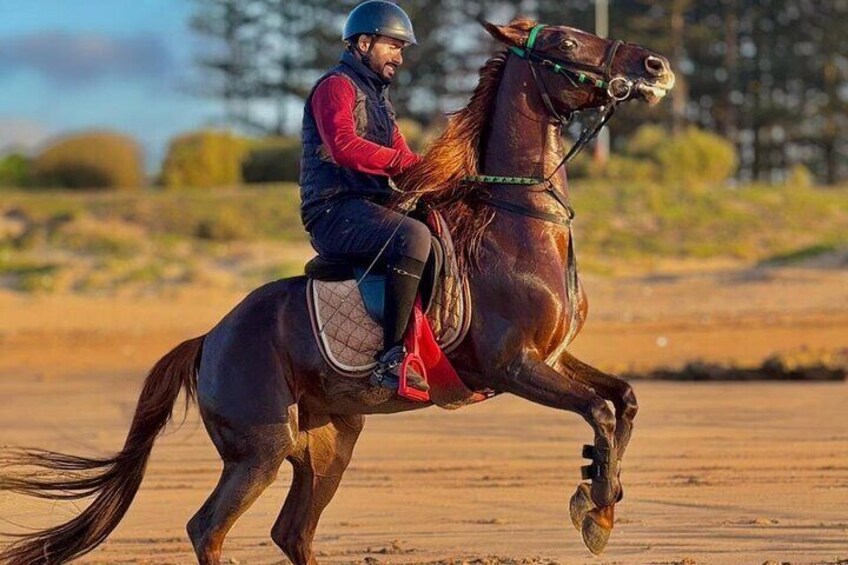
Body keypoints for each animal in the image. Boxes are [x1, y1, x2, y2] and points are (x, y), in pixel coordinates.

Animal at [1, 17, 676, 564]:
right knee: (208, 529)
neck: (518, 220)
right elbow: (599, 410)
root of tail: (210, 338)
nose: (655, 67)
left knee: (292, 533)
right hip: (259, 451)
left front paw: (602, 491)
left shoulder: (555, 357)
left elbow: (624, 400)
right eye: (566, 40)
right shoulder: (513, 366)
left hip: (328, 446)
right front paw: (595, 507)